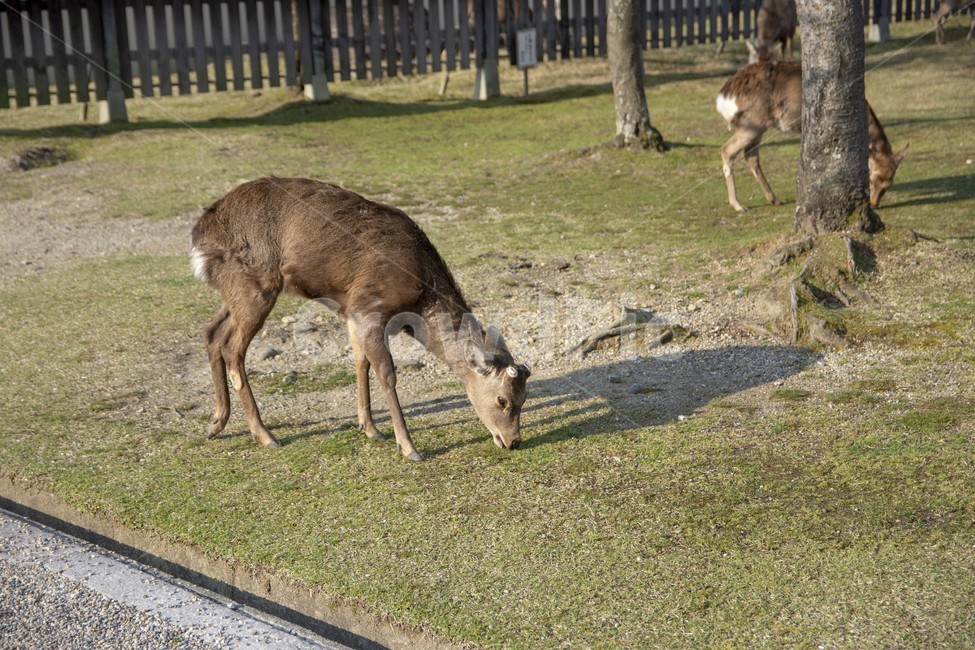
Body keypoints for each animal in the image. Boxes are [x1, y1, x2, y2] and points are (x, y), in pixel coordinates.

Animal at [190, 177, 531, 461]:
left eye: (525, 398)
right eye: (502, 400)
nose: (513, 441)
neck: (419, 296)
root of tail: (199, 234)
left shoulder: (352, 311)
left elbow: (360, 362)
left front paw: (370, 429)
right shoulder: (371, 306)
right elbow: (386, 372)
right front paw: (409, 447)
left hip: (234, 290)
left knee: (212, 333)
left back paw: (216, 423)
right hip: (256, 284)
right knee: (233, 348)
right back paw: (265, 435)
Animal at [716, 61, 909, 213]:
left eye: (888, 185)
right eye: (871, 179)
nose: (874, 204)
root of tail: (724, 96)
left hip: (757, 126)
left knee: (750, 155)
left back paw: (774, 199)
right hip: (752, 122)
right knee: (727, 150)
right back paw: (738, 205)